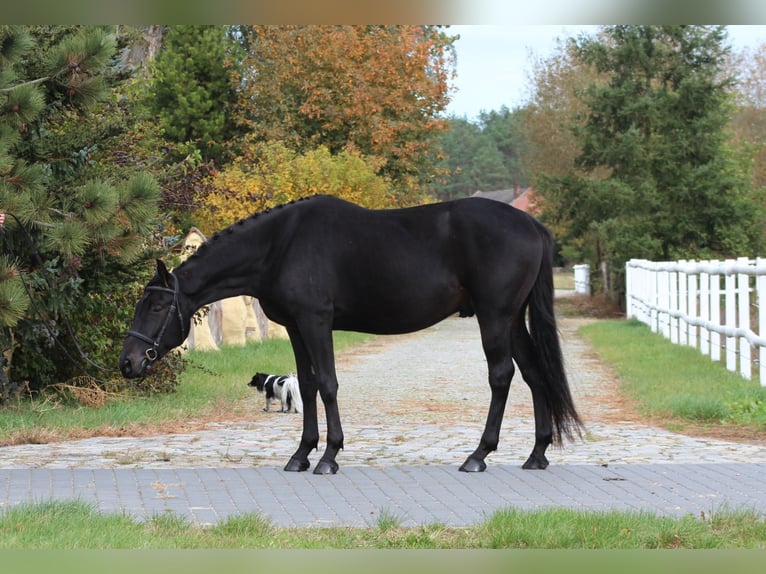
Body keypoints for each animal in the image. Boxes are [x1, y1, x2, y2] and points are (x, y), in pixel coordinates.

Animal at [120, 196, 584, 474]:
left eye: (156, 306)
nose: (128, 362)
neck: (280, 245)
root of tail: (531, 225)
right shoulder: (295, 327)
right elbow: (306, 385)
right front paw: (301, 454)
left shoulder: (315, 322)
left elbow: (327, 384)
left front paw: (328, 456)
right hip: (512, 319)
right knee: (535, 375)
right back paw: (537, 454)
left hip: (495, 317)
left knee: (502, 377)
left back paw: (478, 455)